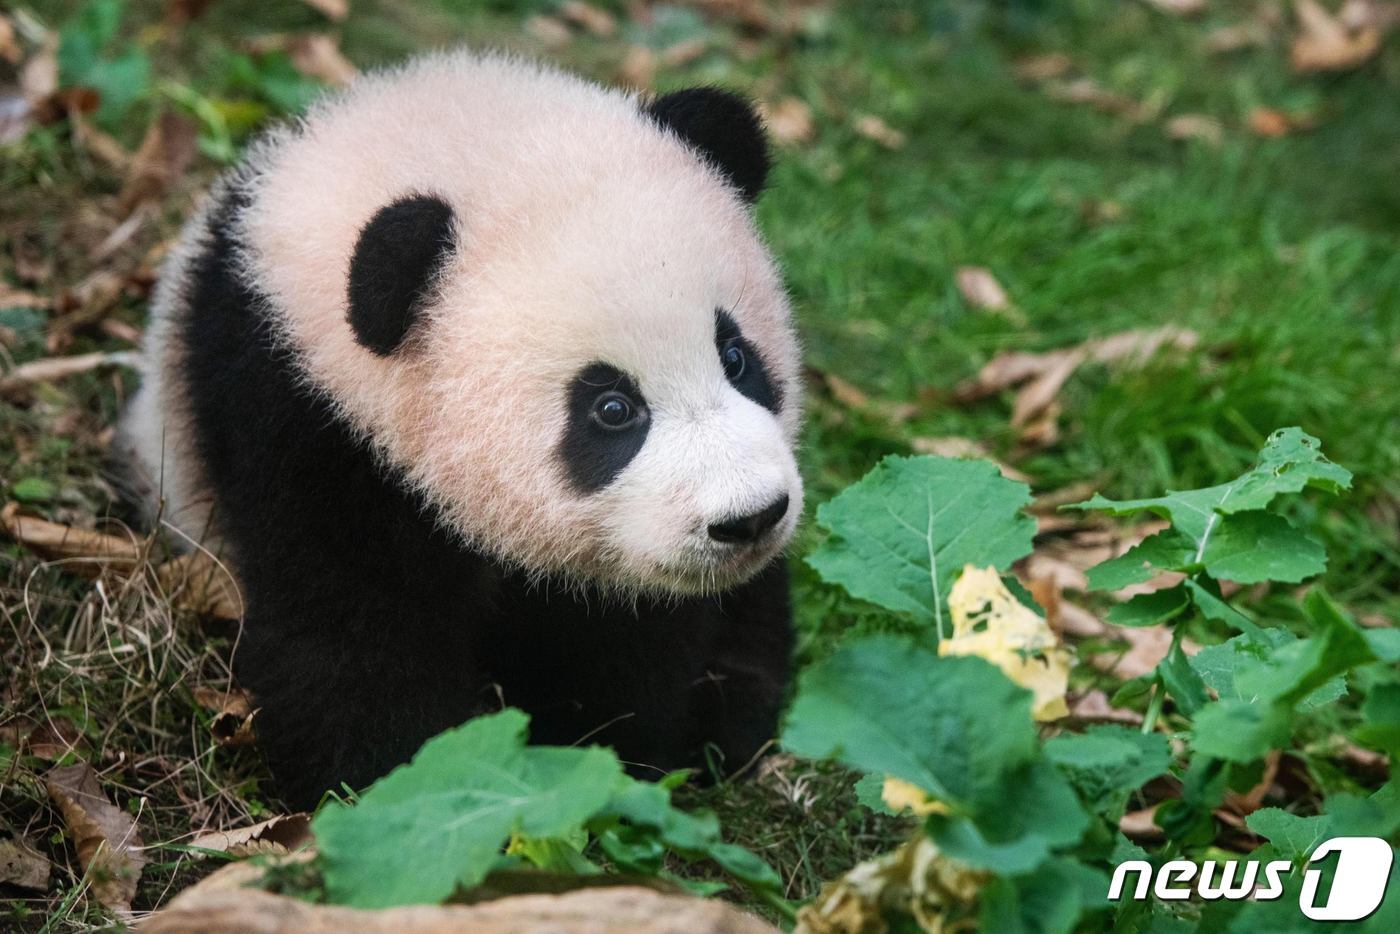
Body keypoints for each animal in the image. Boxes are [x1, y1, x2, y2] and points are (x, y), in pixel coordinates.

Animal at [123, 51, 800, 812]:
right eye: (612, 410)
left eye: (736, 358)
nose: (748, 518)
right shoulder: (299, 416)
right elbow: (353, 629)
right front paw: (400, 780)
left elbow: (634, 639)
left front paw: (606, 753)